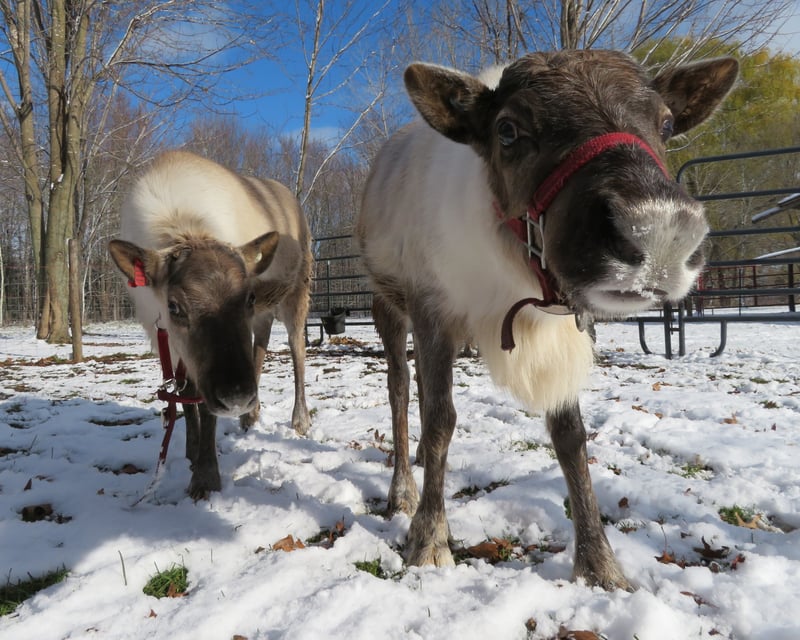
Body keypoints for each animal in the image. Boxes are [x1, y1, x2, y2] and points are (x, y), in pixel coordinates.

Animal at [109, 150, 312, 500]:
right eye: (174, 306)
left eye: (248, 297)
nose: (237, 397)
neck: (185, 228)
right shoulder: (163, 334)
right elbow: (186, 393)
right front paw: (191, 453)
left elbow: (203, 404)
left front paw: (206, 478)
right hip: (266, 315)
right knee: (260, 345)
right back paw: (249, 417)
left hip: (296, 292)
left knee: (297, 347)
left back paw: (298, 419)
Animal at [357, 49, 738, 590]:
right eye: (508, 129)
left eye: (666, 123)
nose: (660, 231)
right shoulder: (432, 308)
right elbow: (440, 420)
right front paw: (428, 541)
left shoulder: (571, 323)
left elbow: (570, 435)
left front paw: (600, 565)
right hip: (386, 302)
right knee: (399, 387)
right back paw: (403, 492)